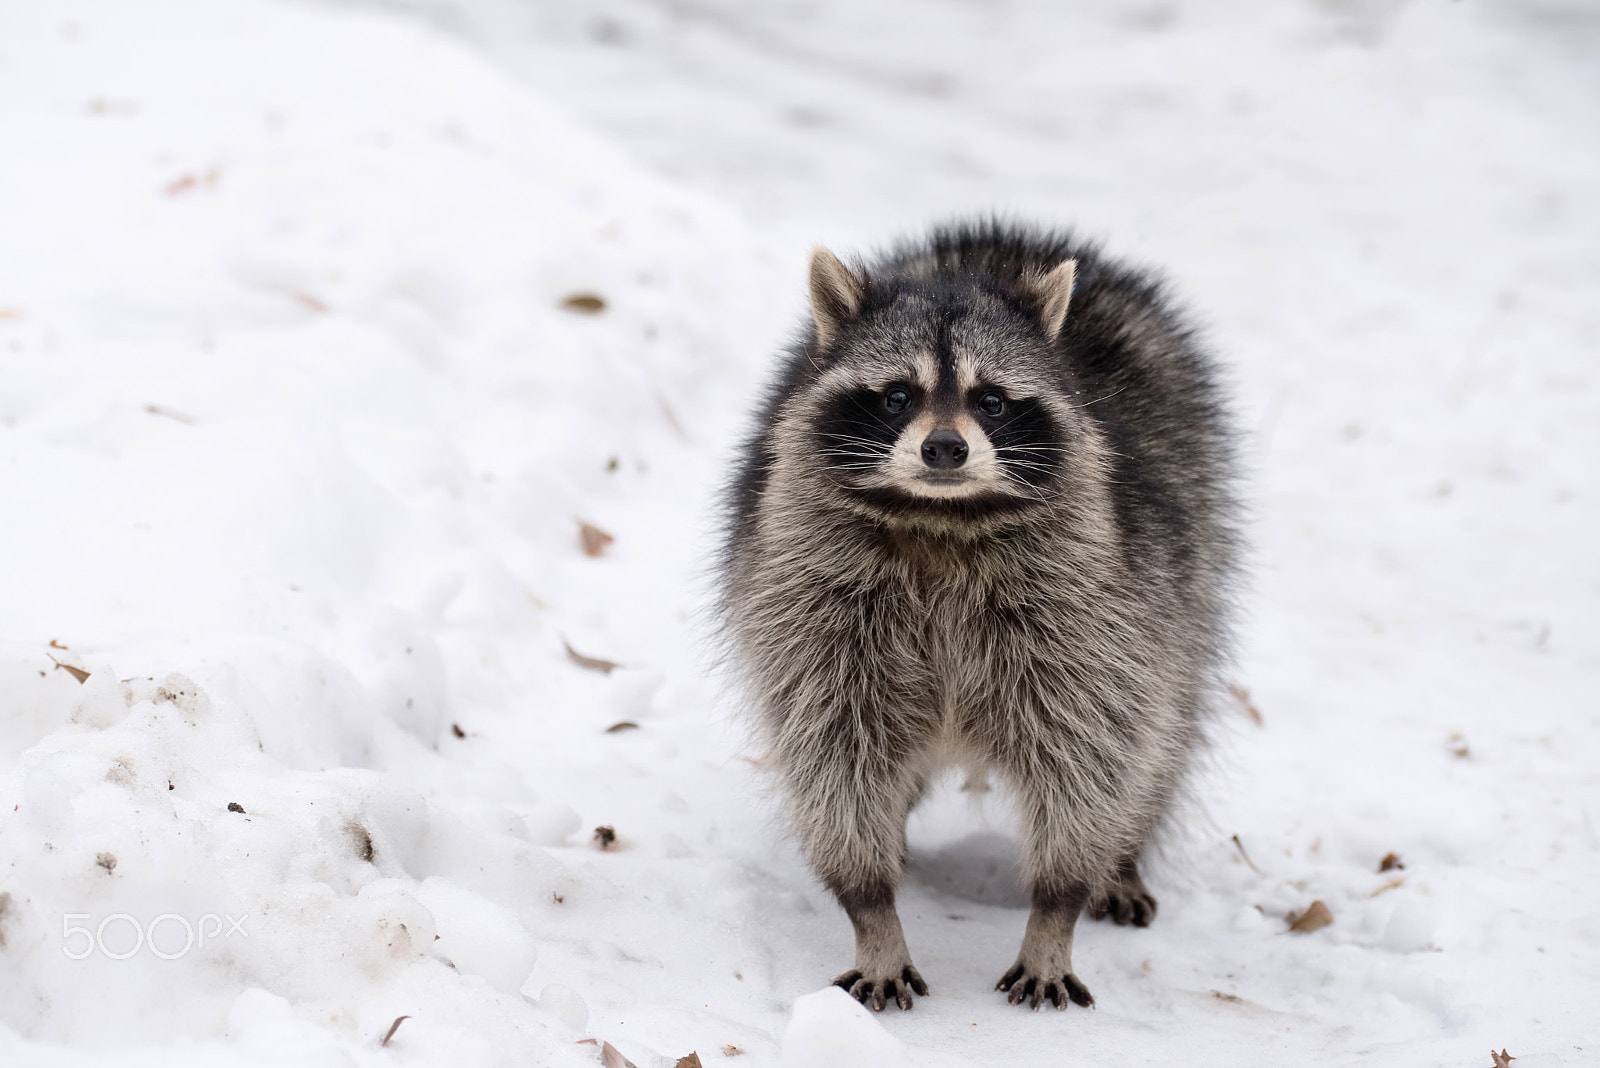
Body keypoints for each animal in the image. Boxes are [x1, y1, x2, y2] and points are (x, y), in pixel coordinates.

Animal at [717, 221, 1238, 1012]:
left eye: (990, 400)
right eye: (897, 396)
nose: (944, 447)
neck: (940, 518)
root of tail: (1001, 234)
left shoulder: (1096, 610)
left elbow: (1092, 753)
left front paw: (1057, 909)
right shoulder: (810, 601)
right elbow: (834, 751)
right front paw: (872, 911)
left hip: (1186, 576)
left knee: (1163, 735)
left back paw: (1123, 855)